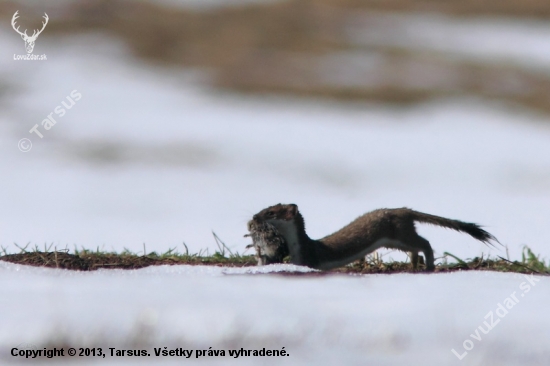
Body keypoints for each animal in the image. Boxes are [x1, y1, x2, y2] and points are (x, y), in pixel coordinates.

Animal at [250, 204, 500, 270]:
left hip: (399, 233)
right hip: (398, 237)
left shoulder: (309, 258)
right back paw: (414, 264)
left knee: (425, 243)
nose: (253, 216)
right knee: (416, 248)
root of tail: (404, 209)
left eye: (270, 212)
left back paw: (428, 265)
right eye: (265, 207)